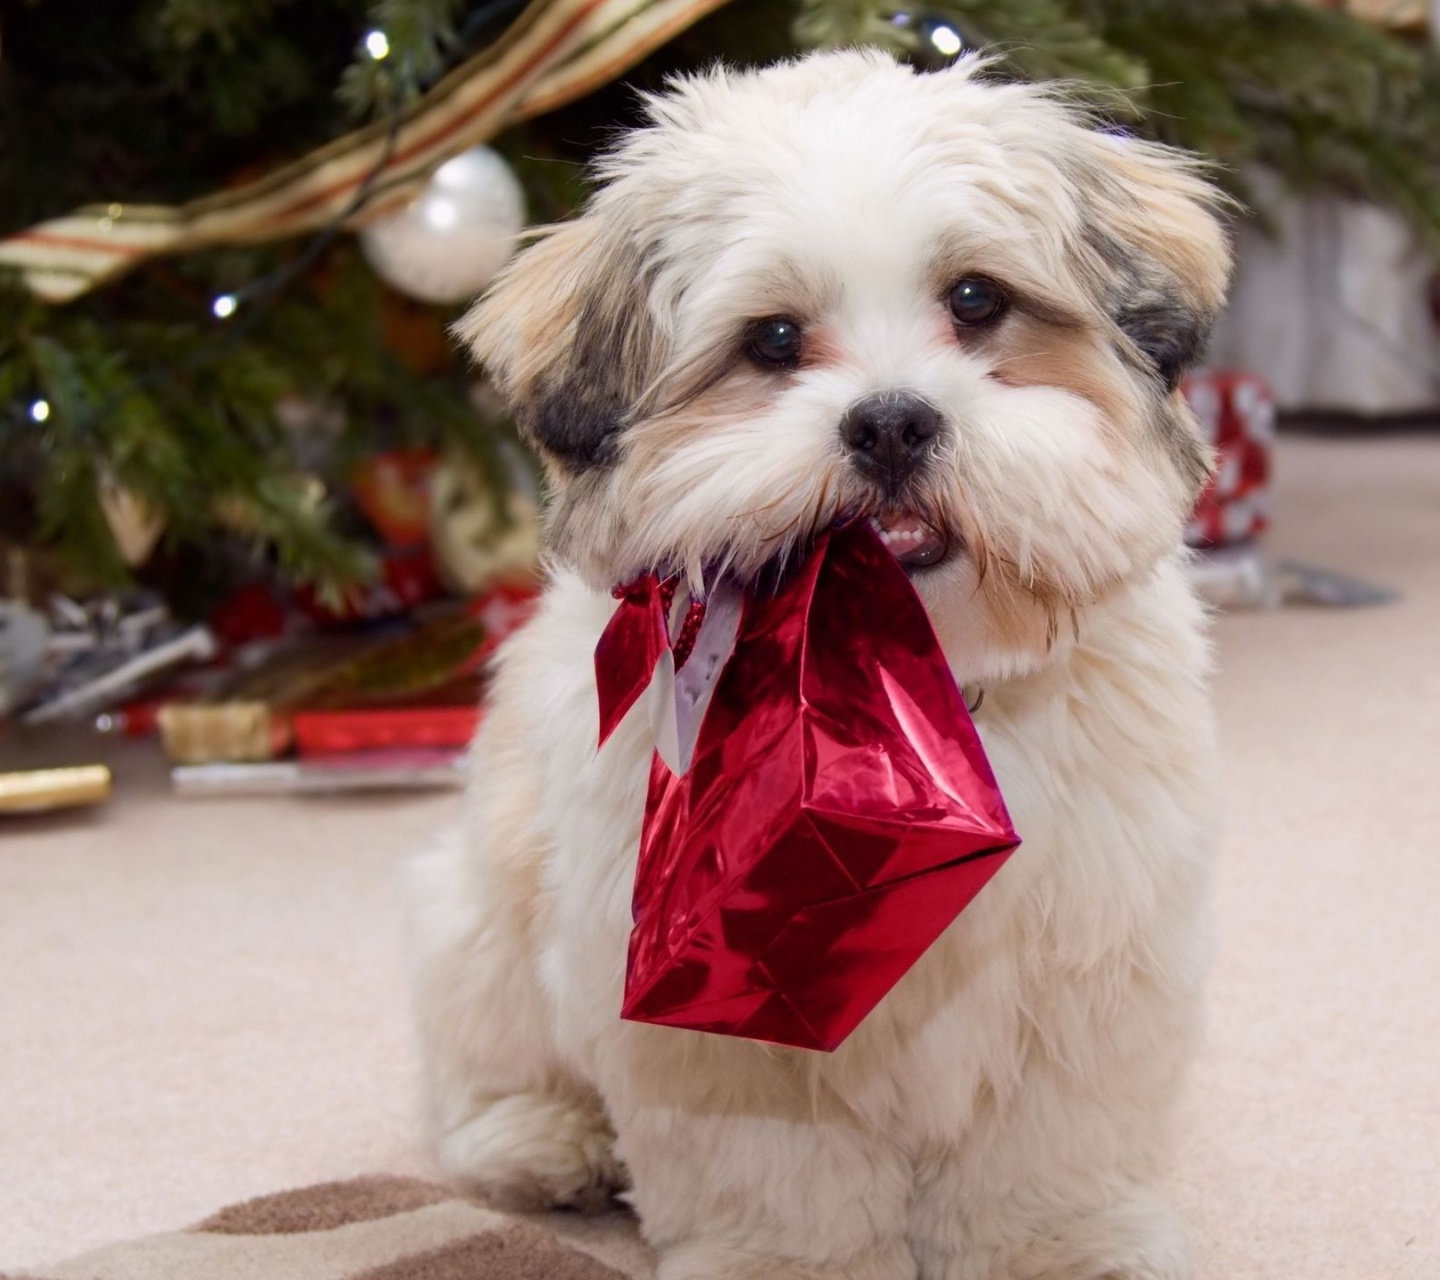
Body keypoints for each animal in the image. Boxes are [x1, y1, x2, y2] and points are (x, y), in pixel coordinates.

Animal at [411, 50, 1232, 1278]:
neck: (905, 692)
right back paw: (541, 1138)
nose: (891, 421)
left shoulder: (1087, 967)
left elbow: (1046, 1150)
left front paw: (1062, 1242)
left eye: (976, 299)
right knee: (478, 1065)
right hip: (485, 914)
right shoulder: (719, 1004)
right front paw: (785, 1262)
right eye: (774, 340)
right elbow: (776, 1177)